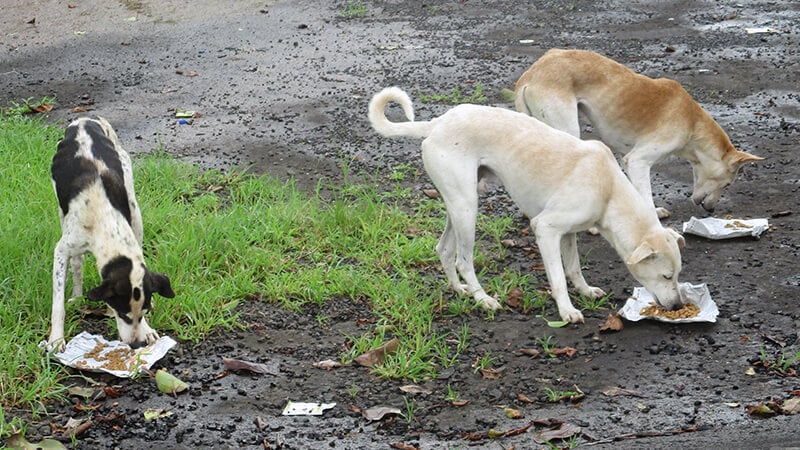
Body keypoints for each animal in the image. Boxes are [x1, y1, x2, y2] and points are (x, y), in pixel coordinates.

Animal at [47, 117, 175, 352]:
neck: (105, 220)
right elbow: (57, 302)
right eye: (123, 314)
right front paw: (56, 339)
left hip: (134, 206)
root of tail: (85, 119)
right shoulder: (62, 250)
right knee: (77, 263)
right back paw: (77, 295)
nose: (136, 344)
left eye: (143, 314)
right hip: (62, 212)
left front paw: (147, 329)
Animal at [368, 86, 688, 322]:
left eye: (678, 275)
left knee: (444, 250)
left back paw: (461, 290)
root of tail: (438, 122)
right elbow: (558, 277)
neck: (607, 188)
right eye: (666, 276)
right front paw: (567, 310)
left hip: (457, 205)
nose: (676, 307)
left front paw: (585, 291)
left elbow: (574, 268)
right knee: (463, 260)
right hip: (467, 209)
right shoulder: (545, 229)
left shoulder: (568, 233)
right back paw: (483, 299)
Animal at [512, 49, 764, 218]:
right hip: (568, 131)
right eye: (728, 184)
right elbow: (645, 196)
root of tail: (530, 76)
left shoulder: (627, 159)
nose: (711, 210)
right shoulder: (638, 161)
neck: (692, 122)